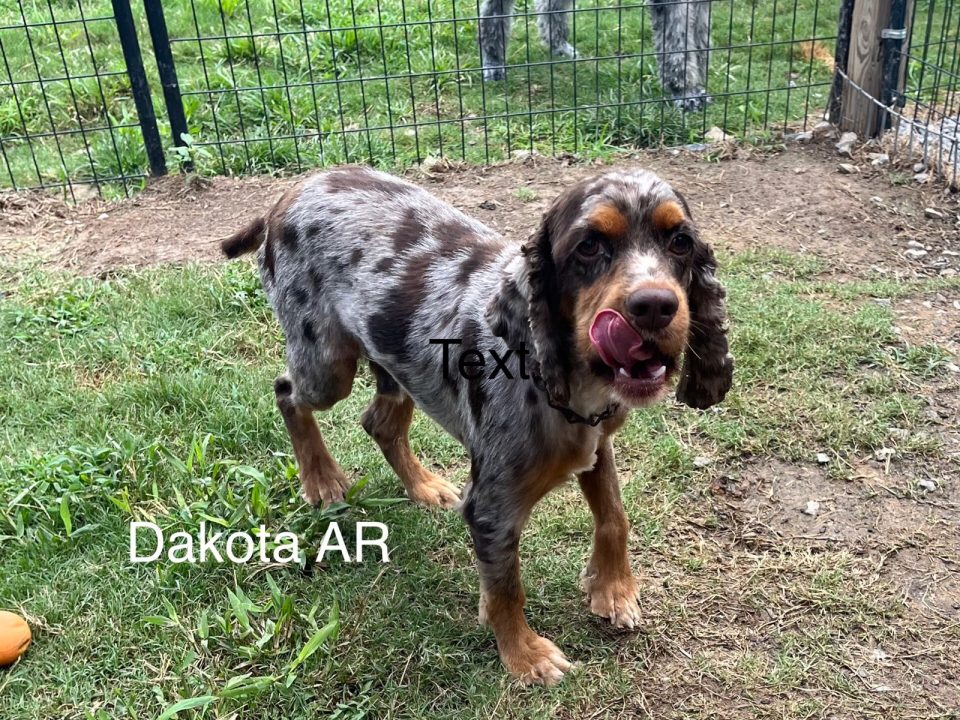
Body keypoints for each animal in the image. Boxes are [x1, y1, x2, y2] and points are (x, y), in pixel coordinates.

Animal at [223, 166, 736, 684]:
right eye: (589, 246)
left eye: (680, 242)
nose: (655, 307)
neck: (565, 383)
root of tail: (289, 193)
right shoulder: (491, 507)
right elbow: (507, 587)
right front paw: (525, 654)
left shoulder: (596, 442)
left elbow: (614, 516)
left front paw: (613, 589)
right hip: (327, 366)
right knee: (287, 392)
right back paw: (322, 479)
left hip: (394, 358)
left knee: (379, 422)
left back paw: (424, 486)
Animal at [480, 0, 712, 111]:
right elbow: (677, 43)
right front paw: (685, 92)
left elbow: (699, 37)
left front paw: (699, 85)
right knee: (493, 10)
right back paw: (493, 61)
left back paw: (559, 46)